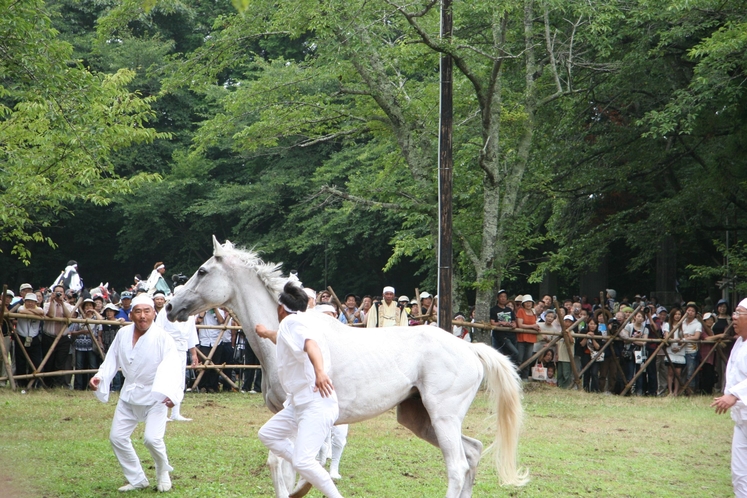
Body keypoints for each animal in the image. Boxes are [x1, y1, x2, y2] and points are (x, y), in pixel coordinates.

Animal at [168, 238, 532, 498]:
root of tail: (470, 348)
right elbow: (285, 467)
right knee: (472, 453)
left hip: (443, 416)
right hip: (419, 418)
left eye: (202, 271)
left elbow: (282, 465)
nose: (171, 306)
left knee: (457, 466)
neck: (283, 337)